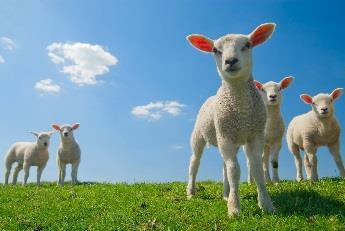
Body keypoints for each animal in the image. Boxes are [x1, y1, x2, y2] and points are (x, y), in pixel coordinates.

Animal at [184, 22, 276, 216]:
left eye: (247, 45)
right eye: (215, 50)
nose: (231, 61)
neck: (241, 110)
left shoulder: (255, 135)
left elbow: (256, 169)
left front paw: (266, 204)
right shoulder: (226, 137)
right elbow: (234, 170)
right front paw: (234, 209)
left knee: (224, 166)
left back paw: (226, 194)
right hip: (200, 135)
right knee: (195, 162)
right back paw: (191, 192)